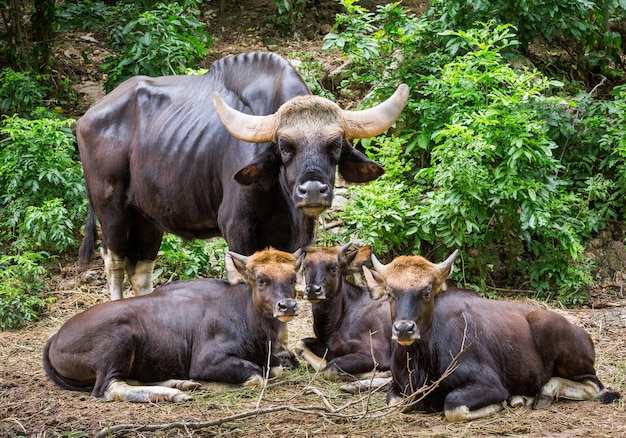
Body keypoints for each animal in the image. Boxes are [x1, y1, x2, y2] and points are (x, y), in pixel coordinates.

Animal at [42, 248, 302, 402]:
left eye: (292, 278)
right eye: (261, 280)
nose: (287, 306)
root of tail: (55, 337)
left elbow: (274, 369)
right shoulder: (207, 361)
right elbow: (257, 377)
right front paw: (209, 385)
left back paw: (180, 384)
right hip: (119, 341)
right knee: (108, 388)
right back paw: (175, 393)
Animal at [75, 52, 408, 302]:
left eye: (336, 145)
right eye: (284, 147)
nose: (313, 191)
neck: (278, 194)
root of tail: (86, 119)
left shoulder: (293, 233)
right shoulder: (236, 226)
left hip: (147, 218)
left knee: (141, 270)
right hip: (112, 211)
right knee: (115, 264)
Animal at [294, 245, 390, 382]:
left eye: (334, 268)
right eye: (305, 267)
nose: (313, 290)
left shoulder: (379, 355)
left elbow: (330, 368)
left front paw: (383, 373)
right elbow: (300, 344)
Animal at [360, 250, 620, 420]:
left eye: (426, 292)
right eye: (390, 293)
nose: (404, 329)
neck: (422, 361)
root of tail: (583, 333)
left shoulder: (490, 385)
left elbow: (453, 407)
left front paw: (501, 404)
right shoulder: (397, 386)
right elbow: (395, 403)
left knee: (596, 386)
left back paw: (543, 392)